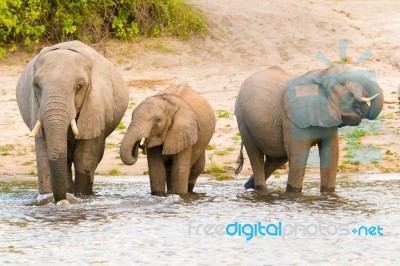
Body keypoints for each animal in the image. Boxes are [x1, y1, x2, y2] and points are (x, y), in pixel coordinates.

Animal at [16, 41, 129, 204]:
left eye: (80, 86)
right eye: (36, 85)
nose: (61, 200)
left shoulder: (96, 104)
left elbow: (84, 157)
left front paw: (81, 196)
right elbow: (43, 153)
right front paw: (48, 198)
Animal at [236, 65, 382, 192]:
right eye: (342, 83)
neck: (319, 73)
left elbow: (331, 154)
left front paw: (328, 193)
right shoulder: (293, 120)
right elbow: (298, 156)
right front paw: (293, 193)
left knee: (277, 159)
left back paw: (248, 186)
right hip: (242, 119)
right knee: (255, 155)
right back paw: (259, 188)